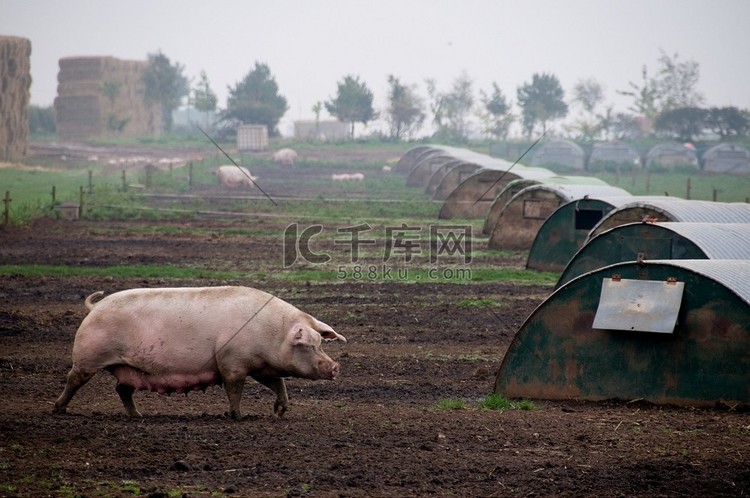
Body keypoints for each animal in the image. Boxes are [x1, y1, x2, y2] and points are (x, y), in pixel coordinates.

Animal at [53, 286, 346, 418]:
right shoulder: (232, 363)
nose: (335, 367)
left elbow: (278, 382)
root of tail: (95, 307)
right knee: (73, 379)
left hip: (128, 368)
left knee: (122, 389)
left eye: (320, 343)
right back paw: (58, 410)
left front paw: (280, 411)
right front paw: (236, 416)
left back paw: (138, 416)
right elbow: (234, 390)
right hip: (87, 357)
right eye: (308, 345)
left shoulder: (259, 366)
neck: (273, 333)